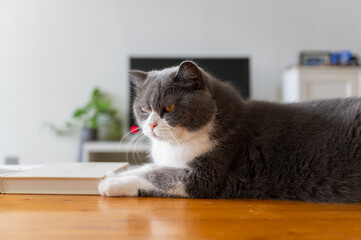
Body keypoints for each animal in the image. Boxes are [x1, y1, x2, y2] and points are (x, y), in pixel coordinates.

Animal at [98, 60, 361, 202]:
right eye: (143, 109)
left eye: (169, 108)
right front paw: (113, 173)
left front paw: (111, 184)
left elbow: (158, 175)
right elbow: (150, 167)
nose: (151, 125)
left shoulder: (206, 175)